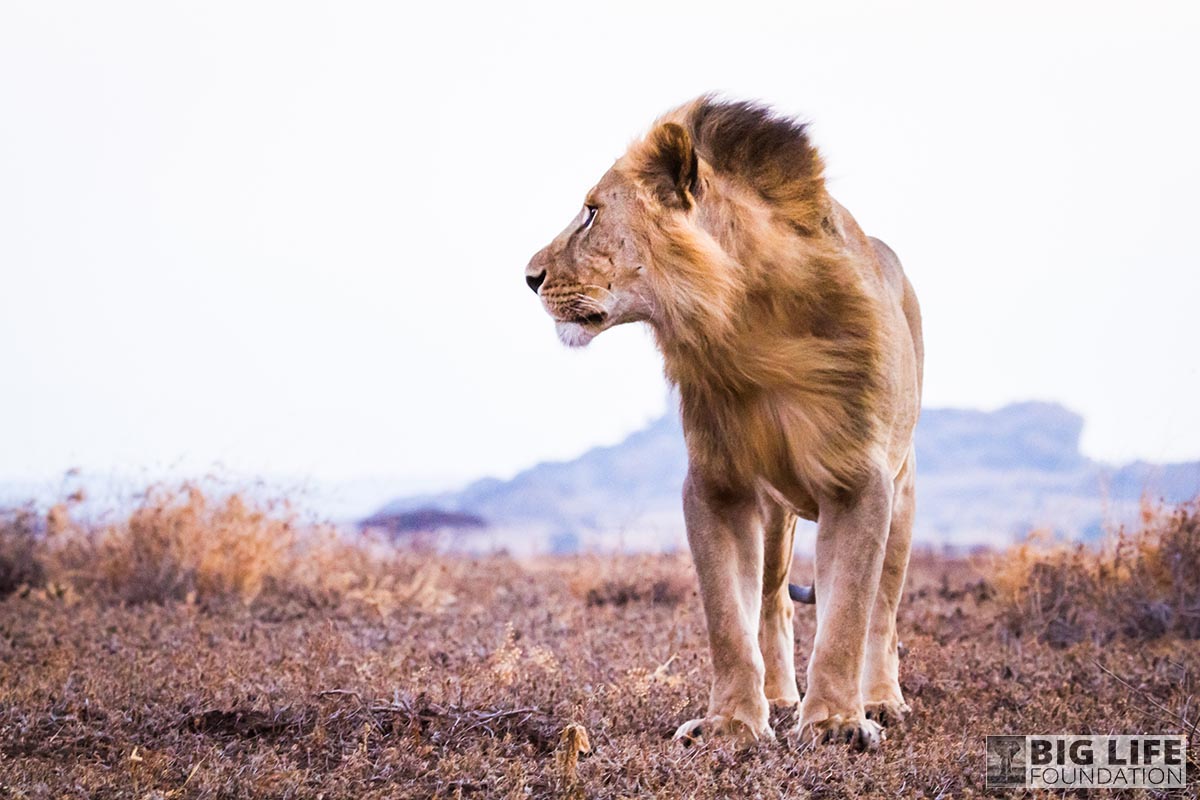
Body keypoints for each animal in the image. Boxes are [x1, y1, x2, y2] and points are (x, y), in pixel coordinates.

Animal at [524, 97, 923, 750]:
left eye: (591, 213)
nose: (528, 277)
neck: (746, 325)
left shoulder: (860, 482)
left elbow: (847, 615)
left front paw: (837, 724)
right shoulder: (717, 484)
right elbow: (727, 617)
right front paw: (732, 725)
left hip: (903, 490)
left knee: (883, 612)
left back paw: (882, 701)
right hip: (777, 512)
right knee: (773, 602)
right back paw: (782, 697)